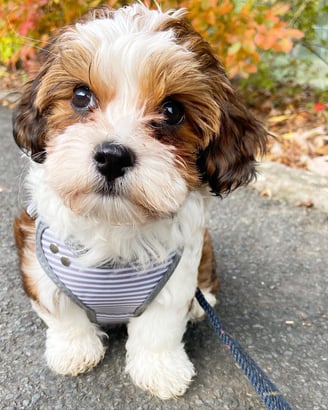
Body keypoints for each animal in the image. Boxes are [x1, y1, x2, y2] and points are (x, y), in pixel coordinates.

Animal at [12, 2, 266, 400]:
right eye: (81, 96)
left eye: (173, 111)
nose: (112, 156)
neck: (114, 224)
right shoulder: (38, 261)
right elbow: (61, 311)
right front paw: (73, 348)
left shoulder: (176, 275)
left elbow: (160, 327)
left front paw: (160, 367)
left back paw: (201, 306)